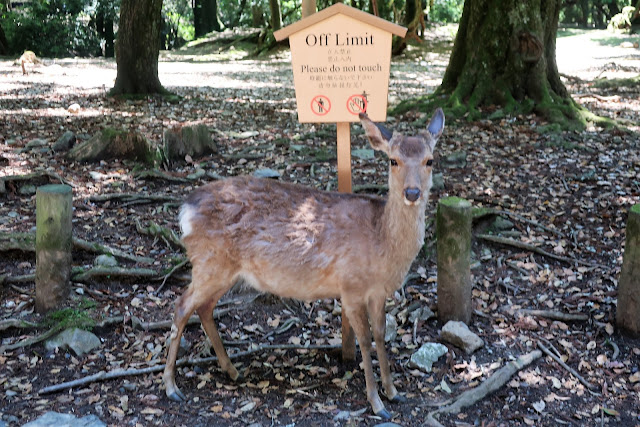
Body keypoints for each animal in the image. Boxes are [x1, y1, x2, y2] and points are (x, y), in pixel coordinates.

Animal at [164, 108, 444, 420]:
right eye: (393, 160)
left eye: (430, 160)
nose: (412, 193)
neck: (382, 243)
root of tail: (185, 209)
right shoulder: (351, 286)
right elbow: (364, 338)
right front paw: (377, 403)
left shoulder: (378, 292)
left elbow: (381, 336)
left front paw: (394, 393)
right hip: (209, 262)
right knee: (181, 306)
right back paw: (172, 388)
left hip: (222, 270)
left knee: (203, 307)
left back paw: (232, 370)